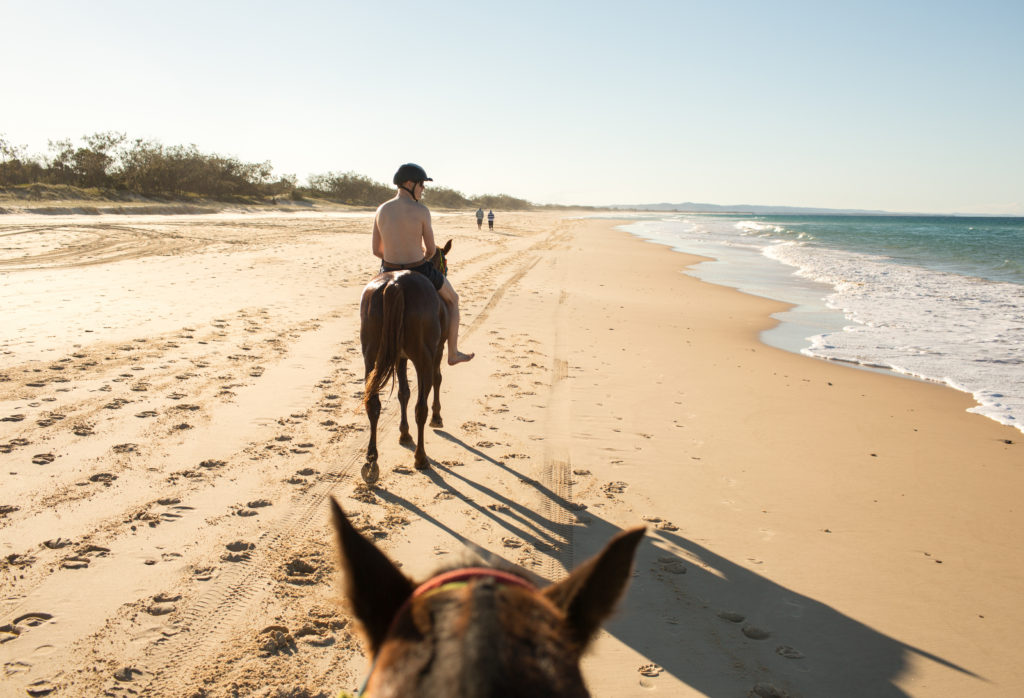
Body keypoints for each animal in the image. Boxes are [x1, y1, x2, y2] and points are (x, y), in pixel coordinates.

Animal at [362, 236, 454, 481]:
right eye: (445, 262)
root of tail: (395, 284)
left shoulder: (399, 357)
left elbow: (403, 393)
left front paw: (404, 434)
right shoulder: (437, 350)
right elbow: (438, 379)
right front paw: (437, 416)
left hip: (370, 356)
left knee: (373, 403)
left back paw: (371, 461)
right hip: (423, 357)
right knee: (420, 407)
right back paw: (421, 457)